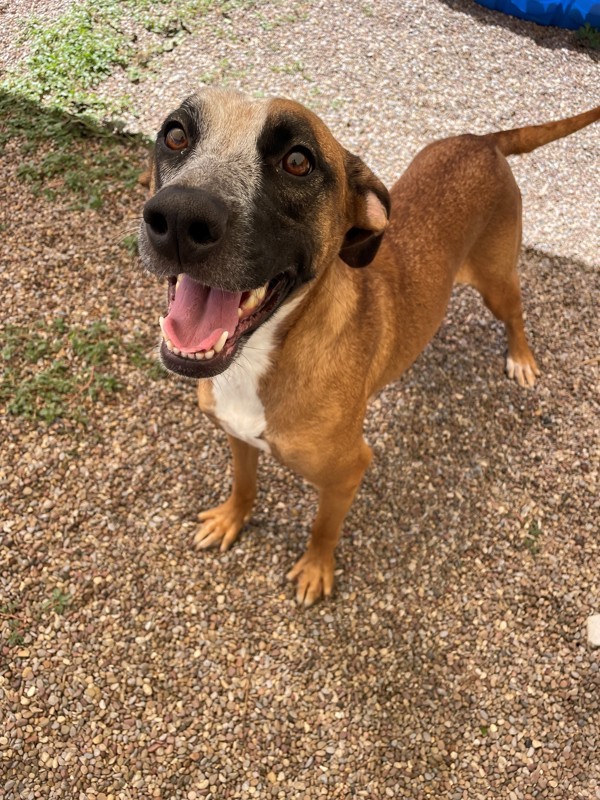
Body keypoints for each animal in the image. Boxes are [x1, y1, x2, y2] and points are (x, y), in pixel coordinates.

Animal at [137, 90, 600, 608]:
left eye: (298, 160)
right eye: (175, 134)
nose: (179, 217)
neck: (264, 356)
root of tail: (483, 141)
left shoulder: (348, 473)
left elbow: (323, 527)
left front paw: (316, 569)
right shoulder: (237, 435)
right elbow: (244, 484)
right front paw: (230, 519)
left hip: (497, 280)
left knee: (516, 314)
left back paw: (521, 358)